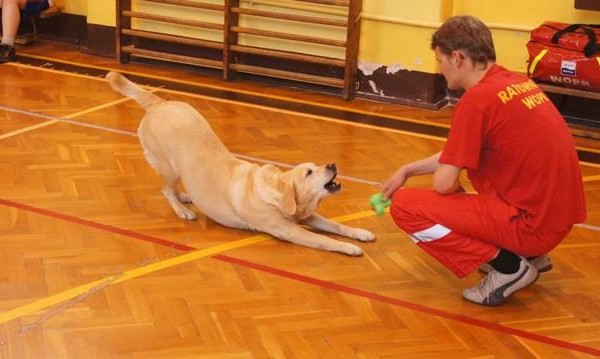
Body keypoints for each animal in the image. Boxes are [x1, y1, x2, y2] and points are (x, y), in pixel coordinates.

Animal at [104, 72, 376, 256]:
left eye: (316, 165)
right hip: (167, 166)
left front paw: (360, 233)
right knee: (165, 189)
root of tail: (158, 103)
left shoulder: (308, 216)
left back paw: (184, 197)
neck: (278, 193)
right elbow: (325, 240)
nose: (331, 164)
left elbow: (336, 225)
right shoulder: (289, 230)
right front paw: (349, 247)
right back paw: (182, 210)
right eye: (309, 172)